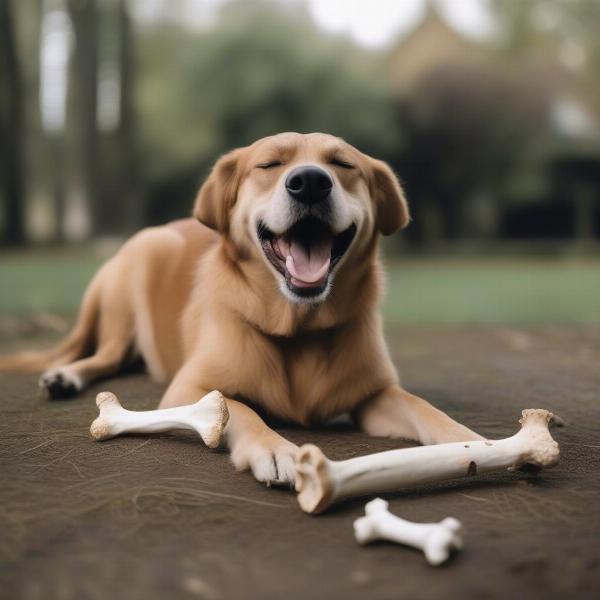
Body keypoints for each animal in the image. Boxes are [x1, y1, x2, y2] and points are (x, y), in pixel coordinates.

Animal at [0, 134, 480, 486]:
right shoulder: (188, 387)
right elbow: (240, 411)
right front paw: (275, 448)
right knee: (105, 356)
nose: (310, 181)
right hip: (134, 274)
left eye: (343, 165)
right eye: (268, 165)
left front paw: (470, 441)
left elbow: (422, 407)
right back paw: (65, 377)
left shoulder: (375, 395)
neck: (299, 329)